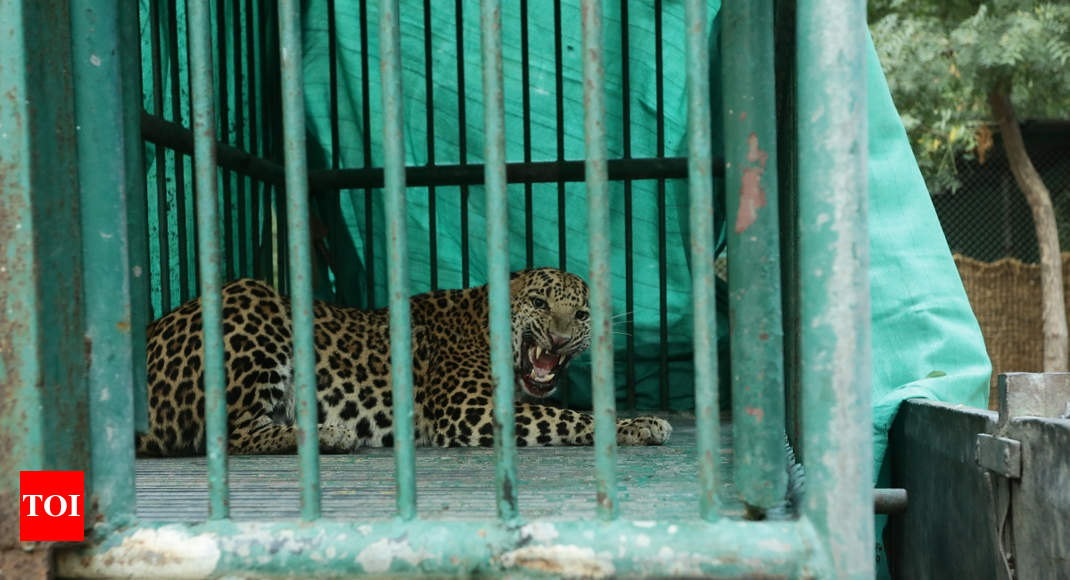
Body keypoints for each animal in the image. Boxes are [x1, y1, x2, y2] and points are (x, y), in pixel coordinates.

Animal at [133, 269, 667, 460]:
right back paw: (333, 435)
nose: (559, 336)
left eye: (581, 314)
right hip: (250, 301)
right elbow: (572, 416)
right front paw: (641, 424)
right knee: (233, 433)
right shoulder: (468, 411)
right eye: (539, 303)